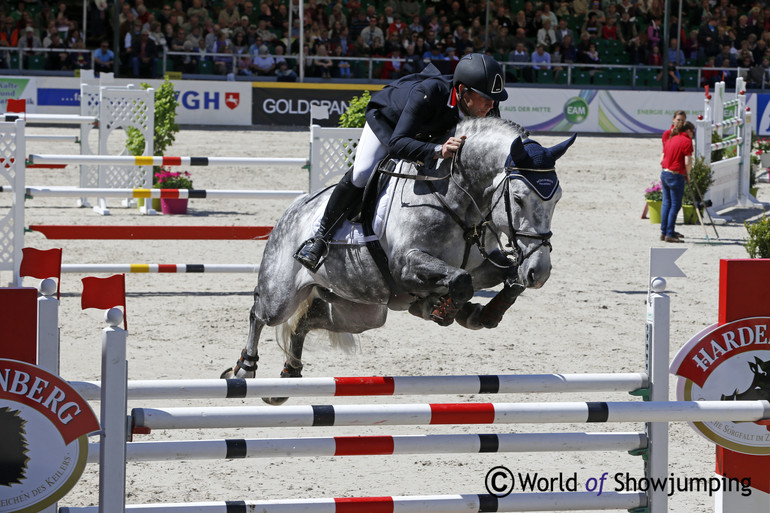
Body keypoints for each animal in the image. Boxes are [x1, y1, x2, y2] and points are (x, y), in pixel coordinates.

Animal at [220, 118, 568, 402]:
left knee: (307, 319)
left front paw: (481, 311)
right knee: (259, 312)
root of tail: (294, 208)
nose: (540, 271)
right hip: (281, 295)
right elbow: (460, 280)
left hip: (362, 311)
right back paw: (244, 370)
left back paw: (288, 376)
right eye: (519, 198)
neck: (455, 197)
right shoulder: (405, 265)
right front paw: (443, 309)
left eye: (557, 199)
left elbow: (501, 278)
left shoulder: (481, 264)